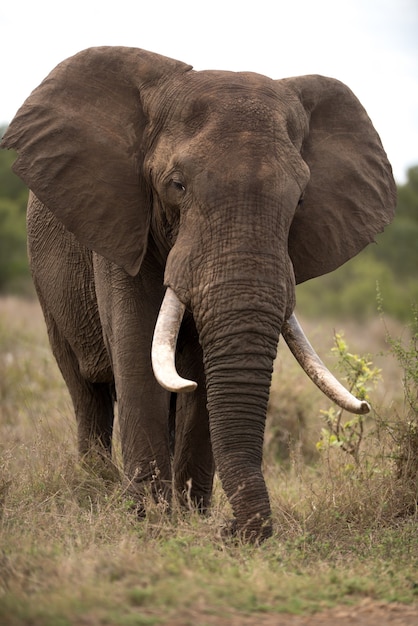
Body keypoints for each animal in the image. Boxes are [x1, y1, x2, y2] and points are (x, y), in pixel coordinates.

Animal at [1, 46, 396, 540]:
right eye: (177, 185)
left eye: (301, 199)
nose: (232, 531)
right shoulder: (121, 224)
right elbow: (136, 353)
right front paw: (148, 521)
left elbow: (201, 377)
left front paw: (191, 518)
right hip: (49, 286)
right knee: (85, 390)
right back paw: (95, 490)